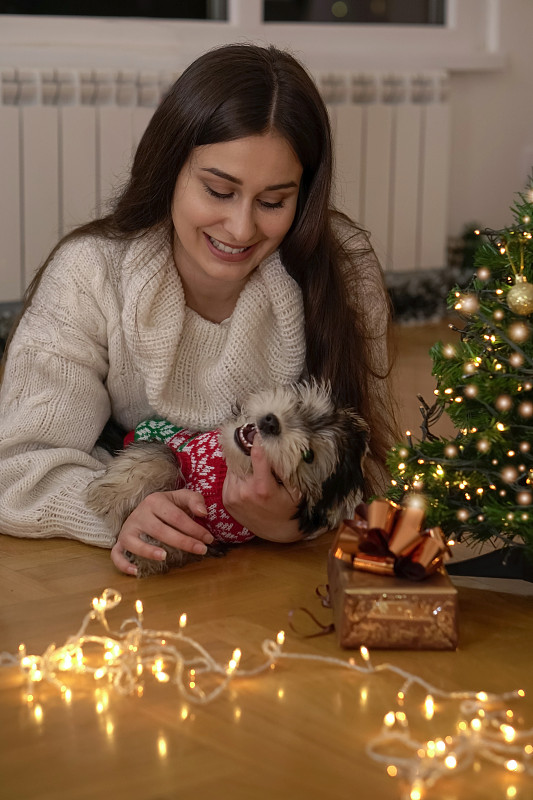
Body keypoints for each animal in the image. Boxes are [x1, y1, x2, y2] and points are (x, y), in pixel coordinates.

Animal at [88, 382, 370, 576]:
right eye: (300, 406)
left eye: (309, 455)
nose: (271, 422)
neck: (227, 471)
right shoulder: (183, 451)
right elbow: (165, 458)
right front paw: (112, 493)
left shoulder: (213, 531)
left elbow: (189, 535)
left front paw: (150, 551)